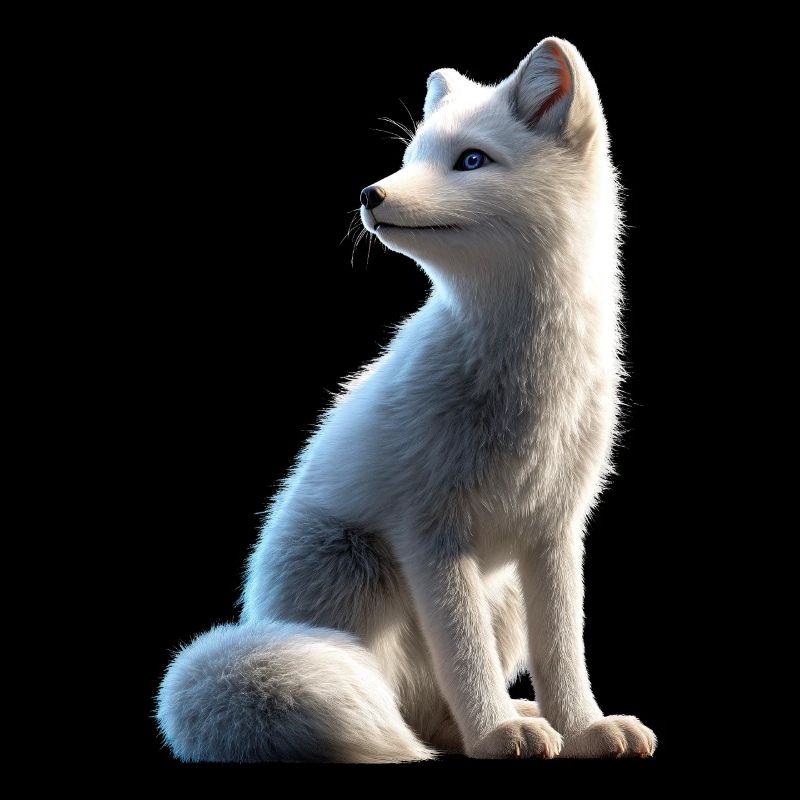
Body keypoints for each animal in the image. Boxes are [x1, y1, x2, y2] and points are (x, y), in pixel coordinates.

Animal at [157, 37, 656, 762]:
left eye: (471, 159)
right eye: (411, 156)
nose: (370, 192)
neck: (526, 379)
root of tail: (258, 616)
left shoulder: (555, 530)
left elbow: (564, 651)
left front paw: (586, 728)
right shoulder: (429, 532)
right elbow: (466, 658)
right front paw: (496, 734)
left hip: (500, 594)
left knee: (433, 707)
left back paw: (517, 718)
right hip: (359, 572)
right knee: (406, 704)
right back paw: (478, 729)